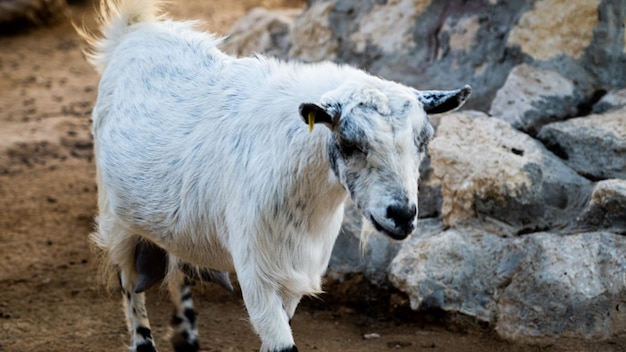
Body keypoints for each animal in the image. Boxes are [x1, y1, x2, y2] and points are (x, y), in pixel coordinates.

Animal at [81, 1, 468, 350]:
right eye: (348, 143)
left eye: (424, 140)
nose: (401, 215)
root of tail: (134, 30)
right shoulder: (257, 271)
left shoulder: (292, 274)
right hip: (116, 218)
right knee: (130, 285)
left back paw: (186, 335)